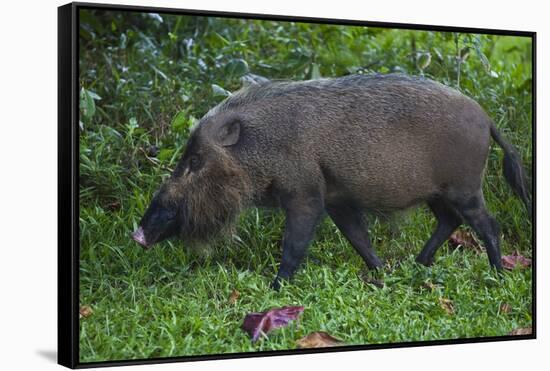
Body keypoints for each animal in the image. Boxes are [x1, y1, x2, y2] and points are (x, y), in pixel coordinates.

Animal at [132, 73, 532, 290]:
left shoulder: (305, 194)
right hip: (438, 193)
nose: (138, 234)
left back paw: (497, 275)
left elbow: (295, 245)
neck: (263, 143)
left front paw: (275, 288)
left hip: (465, 187)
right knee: (450, 221)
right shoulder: (338, 199)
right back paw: (417, 266)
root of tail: (487, 118)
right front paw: (382, 275)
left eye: (195, 161)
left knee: (487, 223)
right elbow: (359, 239)